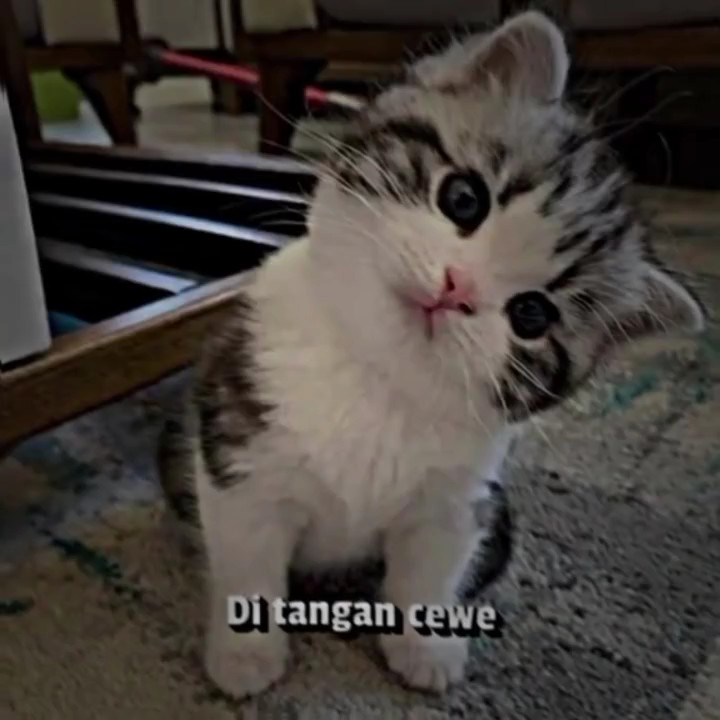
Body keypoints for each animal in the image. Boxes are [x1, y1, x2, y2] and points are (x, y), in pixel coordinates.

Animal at [158, 10, 706, 698]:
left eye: (532, 314)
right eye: (463, 198)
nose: (456, 290)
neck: (380, 381)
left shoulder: (459, 497)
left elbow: (431, 567)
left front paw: (423, 645)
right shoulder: (238, 439)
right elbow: (246, 554)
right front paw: (246, 653)